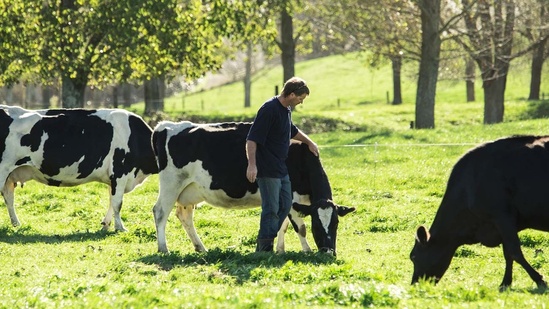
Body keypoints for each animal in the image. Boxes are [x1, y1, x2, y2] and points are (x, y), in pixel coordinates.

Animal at [0, 104, 158, 230]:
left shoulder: (113, 178)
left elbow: (111, 201)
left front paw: (106, 224)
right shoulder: (120, 173)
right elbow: (117, 203)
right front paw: (120, 228)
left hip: (8, 176)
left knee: (9, 198)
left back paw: (16, 224)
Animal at [151, 121, 356, 254]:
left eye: (336, 223)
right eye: (316, 224)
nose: (328, 252)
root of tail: (165, 126)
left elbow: (282, 225)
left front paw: (280, 250)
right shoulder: (294, 199)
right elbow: (300, 227)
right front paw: (306, 250)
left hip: (188, 192)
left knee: (184, 216)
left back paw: (201, 248)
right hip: (171, 184)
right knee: (160, 212)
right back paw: (163, 248)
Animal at [408, 135, 549, 288]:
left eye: (413, 257)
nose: (415, 284)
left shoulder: (502, 217)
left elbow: (514, 252)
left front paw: (539, 279)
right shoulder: (502, 224)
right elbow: (507, 253)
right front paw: (505, 282)